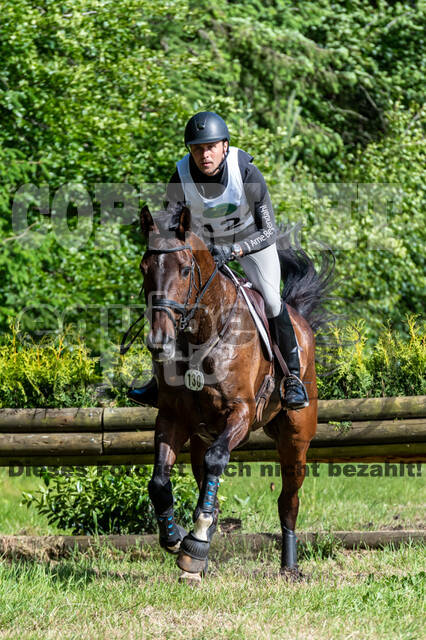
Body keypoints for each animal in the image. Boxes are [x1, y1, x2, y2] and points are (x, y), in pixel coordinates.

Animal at [136, 202, 333, 583]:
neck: (202, 336)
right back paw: (197, 560)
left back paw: (288, 565)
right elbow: (159, 481)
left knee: (288, 500)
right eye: (144, 269)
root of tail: (299, 318)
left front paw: (195, 540)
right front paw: (175, 538)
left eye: (185, 270)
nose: (159, 343)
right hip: (202, 436)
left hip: (296, 439)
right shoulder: (172, 417)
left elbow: (217, 461)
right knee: (204, 478)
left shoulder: (240, 412)